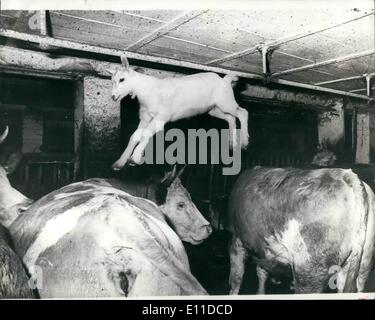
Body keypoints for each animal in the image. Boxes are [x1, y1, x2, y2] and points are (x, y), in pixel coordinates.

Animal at [108, 55, 250, 170]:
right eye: (112, 81)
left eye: (122, 79)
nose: (113, 97)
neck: (148, 90)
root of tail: (225, 80)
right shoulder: (145, 116)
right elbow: (134, 136)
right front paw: (119, 163)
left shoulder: (162, 116)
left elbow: (145, 133)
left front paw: (134, 158)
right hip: (214, 109)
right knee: (231, 118)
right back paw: (232, 144)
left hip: (226, 102)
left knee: (242, 113)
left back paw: (244, 141)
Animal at [229, 168, 375, 296]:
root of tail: (347, 176)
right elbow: (261, 272)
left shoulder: (236, 239)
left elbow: (236, 278)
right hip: (362, 265)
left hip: (310, 271)